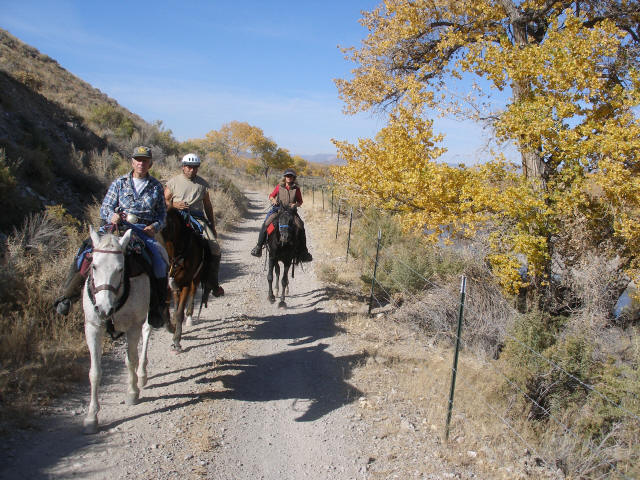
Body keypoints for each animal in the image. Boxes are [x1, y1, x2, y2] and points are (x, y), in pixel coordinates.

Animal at [82, 227, 154, 434]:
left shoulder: (133, 326)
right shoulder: (92, 328)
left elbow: (130, 361)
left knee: (146, 332)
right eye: (94, 266)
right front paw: (91, 416)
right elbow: (95, 372)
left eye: (120, 269)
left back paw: (142, 375)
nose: (103, 309)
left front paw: (132, 392)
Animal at [161, 207, 206, 352]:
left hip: (196, 277)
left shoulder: (186, 283)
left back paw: (189, 317)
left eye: (167, 224)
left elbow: (180, 312)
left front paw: (176, 341)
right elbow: (166, 310)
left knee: (192, 292)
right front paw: (172, 327)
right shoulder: (168, 284)